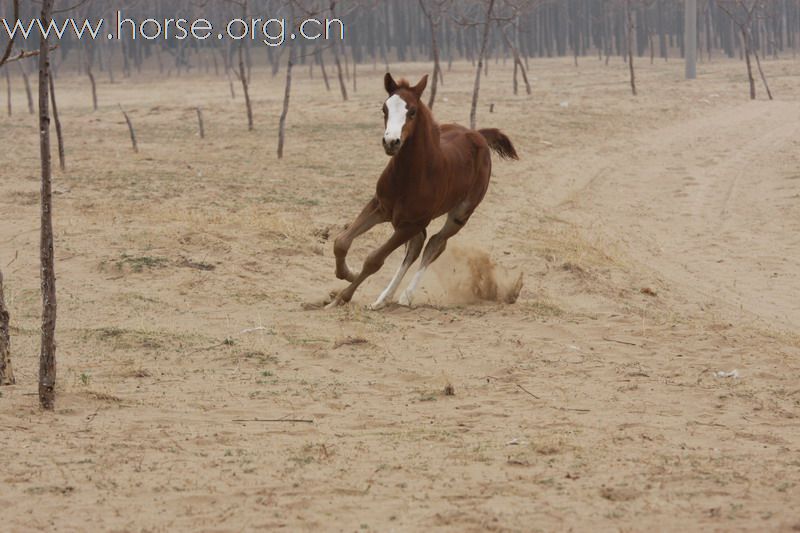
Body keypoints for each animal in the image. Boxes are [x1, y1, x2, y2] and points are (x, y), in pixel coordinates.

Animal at [326, 72, 520, 310]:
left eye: (412, 111)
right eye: (384, 108)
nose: (391, 142)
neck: (409, 176)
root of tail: (478, 134)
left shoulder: (413, 223)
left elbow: (374, 260)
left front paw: (341, 298)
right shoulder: (380, 206)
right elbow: (341, 242)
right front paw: (348, 273)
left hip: (460, 214)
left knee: (435, 244)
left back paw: (405, 295)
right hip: (404, 220)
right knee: (417, 246)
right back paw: (383, 298)